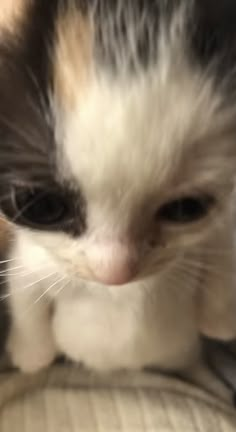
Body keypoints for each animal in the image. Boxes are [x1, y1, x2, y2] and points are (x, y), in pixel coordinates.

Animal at [0, 0, 236, 398]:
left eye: (186, 209)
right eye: (44, 206)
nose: (115, 273)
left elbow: (224, 257)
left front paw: (219, 322)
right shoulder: (33, 262)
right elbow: (24, 297)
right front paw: (32, 356)